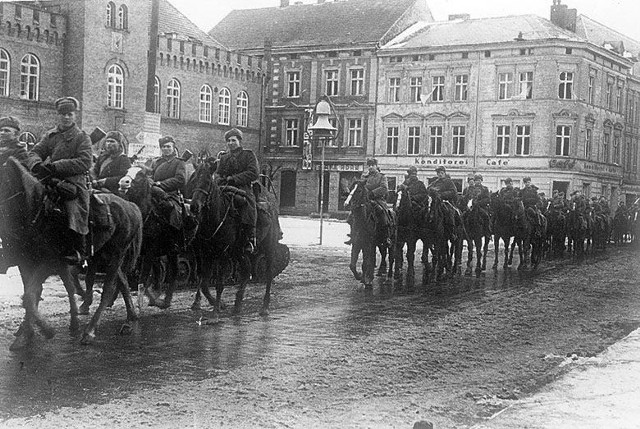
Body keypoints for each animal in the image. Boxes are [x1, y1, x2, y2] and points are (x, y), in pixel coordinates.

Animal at [0, 155, 142, 346]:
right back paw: (129, 320)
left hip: (116, 255)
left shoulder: (49, 262)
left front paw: (46, 330)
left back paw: (90, 331)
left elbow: (31, 295)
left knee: (107, 291)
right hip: (104, 254)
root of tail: (130, 205)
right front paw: (26, 332)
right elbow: (31, 294)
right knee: (123, 283)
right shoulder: (26, 263)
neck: (36, 211)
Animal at [188, 158, 282, 318]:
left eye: (207, 181)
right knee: (246, 270)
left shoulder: (222, 254)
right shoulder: (205, 253)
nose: (194, 206)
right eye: (193, 180)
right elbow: (204, 283)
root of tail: (272, 206)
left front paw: (215, 313)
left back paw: (264, 306)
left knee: (268, 273)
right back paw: (237, 304)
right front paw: (218, 304)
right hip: (238, 251)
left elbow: (219, 284)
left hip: (269, 247)